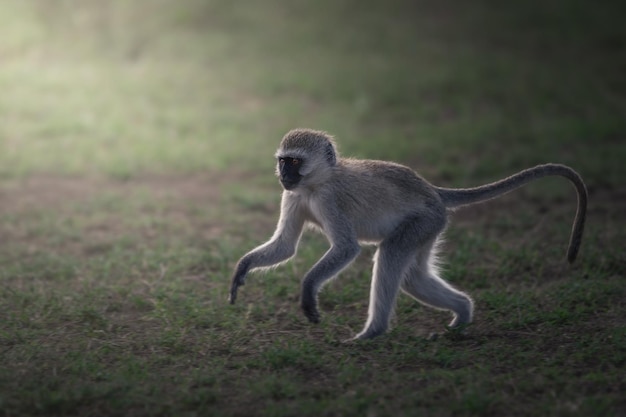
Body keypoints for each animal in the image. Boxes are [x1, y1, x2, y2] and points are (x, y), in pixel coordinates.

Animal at [229, 127, 584, 338]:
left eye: (294, 162)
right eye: (283, 161)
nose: (282, 175)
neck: (316, 183)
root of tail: (432, 191)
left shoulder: (330, 200)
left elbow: (346, 248)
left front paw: (308, 292)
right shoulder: (292, 195)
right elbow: (286, 246)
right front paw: (242, 269)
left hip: (423, 221)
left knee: (390, 258)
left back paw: (373, 332)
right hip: (430, 227)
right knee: (413, 277)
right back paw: (462, 315)